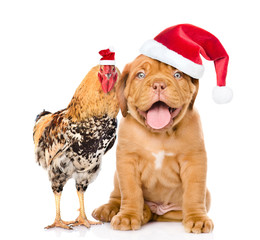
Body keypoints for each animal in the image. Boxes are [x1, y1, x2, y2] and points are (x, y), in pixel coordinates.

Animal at [93, 54, 213, 232]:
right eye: (141, 75)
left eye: (177, 74)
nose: (159, 85)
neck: (159, 134)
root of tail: (158, 209)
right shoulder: (127, 161)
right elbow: (131, 191)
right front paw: (128, 216)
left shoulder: (194, 160)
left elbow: (194, 192)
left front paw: (197, 219)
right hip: (116, 175)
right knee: (117, 195)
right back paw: (110, 209)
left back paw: (145, 213)